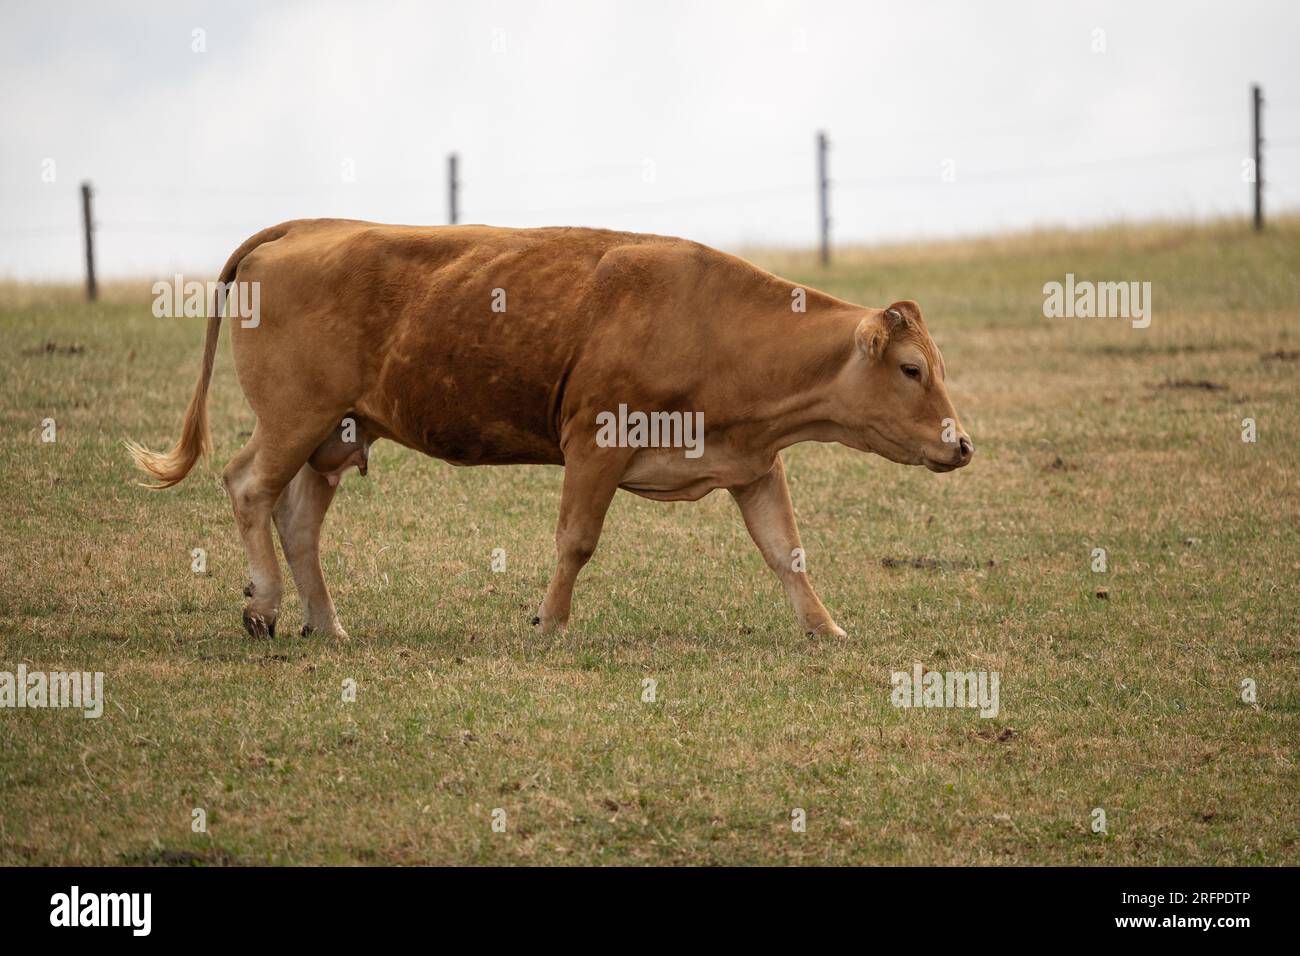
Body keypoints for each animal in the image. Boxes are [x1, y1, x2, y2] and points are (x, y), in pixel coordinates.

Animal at [127, 219, 973, 640]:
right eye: (910, 370)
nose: (961, 444)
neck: (708, 319)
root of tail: (296, 232)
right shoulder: (595, 443)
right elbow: (577, 540)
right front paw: (551, 624)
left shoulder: (754, 463)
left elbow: (785, 551)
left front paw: (826, 630)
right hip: (293, 418)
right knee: (247, 488)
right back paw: (266, 606)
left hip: (334, 433)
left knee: (298, 523)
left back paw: (327, 625)